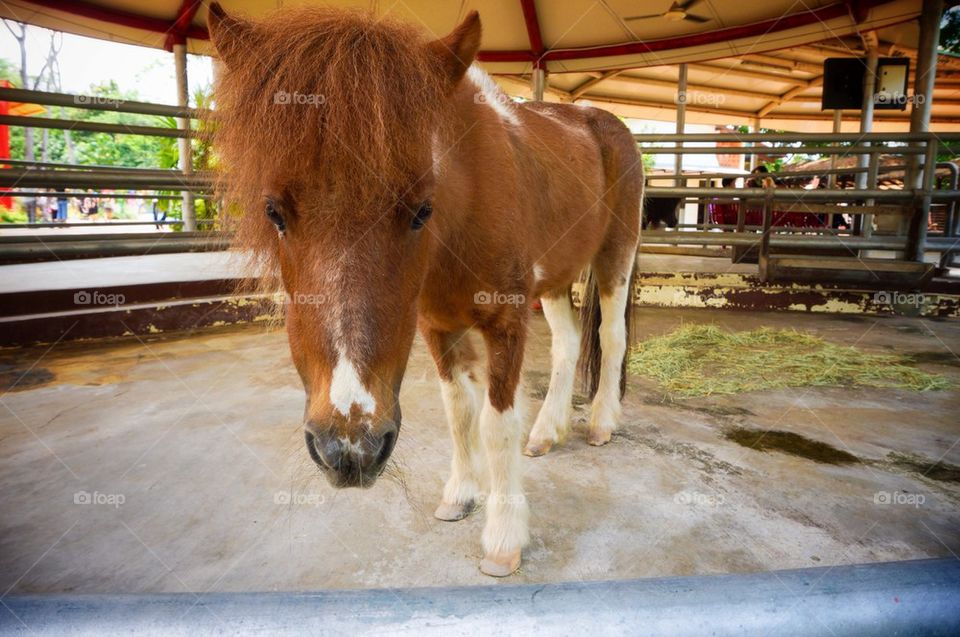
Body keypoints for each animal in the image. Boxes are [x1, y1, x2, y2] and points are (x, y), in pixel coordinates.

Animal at [207, 3, 642, 577]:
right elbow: (460, 412)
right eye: (273, 211)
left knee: (611, 338)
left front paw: (503, 538)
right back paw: (548, 431)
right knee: (570, 344)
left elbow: (496, 423)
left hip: (616, 256)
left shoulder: (506, 323)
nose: (350, 450)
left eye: (420, 210)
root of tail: (606, 122)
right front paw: (460, 495)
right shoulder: (438, 326)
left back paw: (600, 423)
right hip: (555, 279)